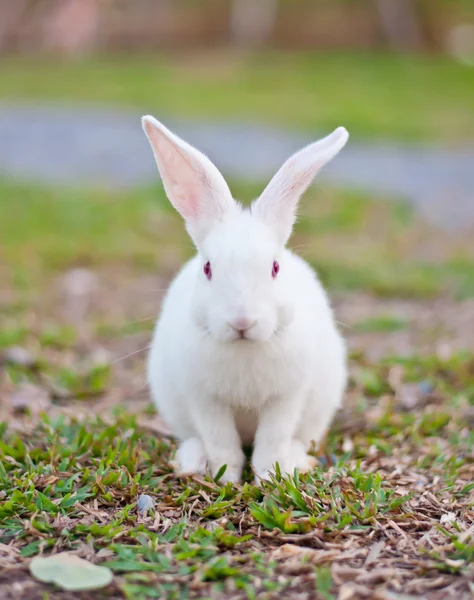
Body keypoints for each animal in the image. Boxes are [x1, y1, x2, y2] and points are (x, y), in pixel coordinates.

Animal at [143, 116, 348, 482]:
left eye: (275, 267)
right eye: (208, 268)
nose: (242, 321)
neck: (244, 349)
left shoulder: (285, 399)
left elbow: (272, 443)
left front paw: (270, 477)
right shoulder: (206, 401)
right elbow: (222, 444)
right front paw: (226, 478)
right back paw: (191, 462)